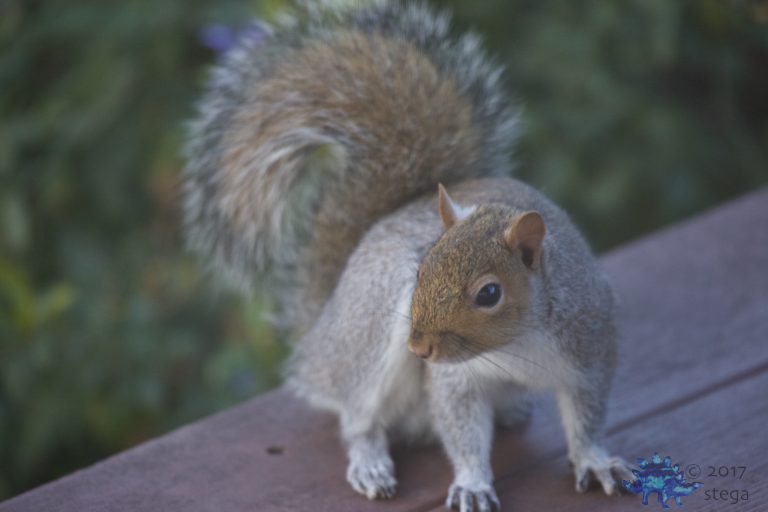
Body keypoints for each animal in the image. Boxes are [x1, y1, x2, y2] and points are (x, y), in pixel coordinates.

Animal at [182, 1, 635, 510]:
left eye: (489, 294)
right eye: (422, 268)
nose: (418, 349)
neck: (515, 346)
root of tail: (320, 332)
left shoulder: (590, 349)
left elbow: (587, 416)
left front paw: (595, 460)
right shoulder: (456, 380)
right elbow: (461, 429)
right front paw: (473, 481)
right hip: (367, 332)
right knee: (358, 416)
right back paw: (369, 460)